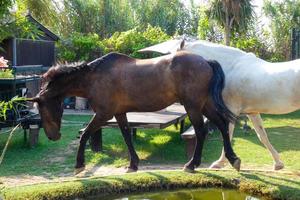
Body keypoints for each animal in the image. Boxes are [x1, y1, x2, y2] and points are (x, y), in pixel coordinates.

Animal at [29, 51, 240, 173]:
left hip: (193, 106)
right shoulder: (119, 113)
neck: (94, 77)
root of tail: (205, 61)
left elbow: (85, 135)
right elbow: (126, 136)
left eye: (43, 109)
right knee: (222, 125)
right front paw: (133, 163)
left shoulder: (103, 114)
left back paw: (192, 164)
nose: (53, 136)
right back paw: (233, 159)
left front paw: (79, 164)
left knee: (201, 131)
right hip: (204, 105)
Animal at [139, 36, 300, 170]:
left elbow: (227, 133)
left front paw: (222, 162)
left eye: (174, 57)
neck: (231, 67)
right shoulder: (252, 112)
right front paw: (278, 163)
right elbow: (263, 136)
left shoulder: (231, 110)